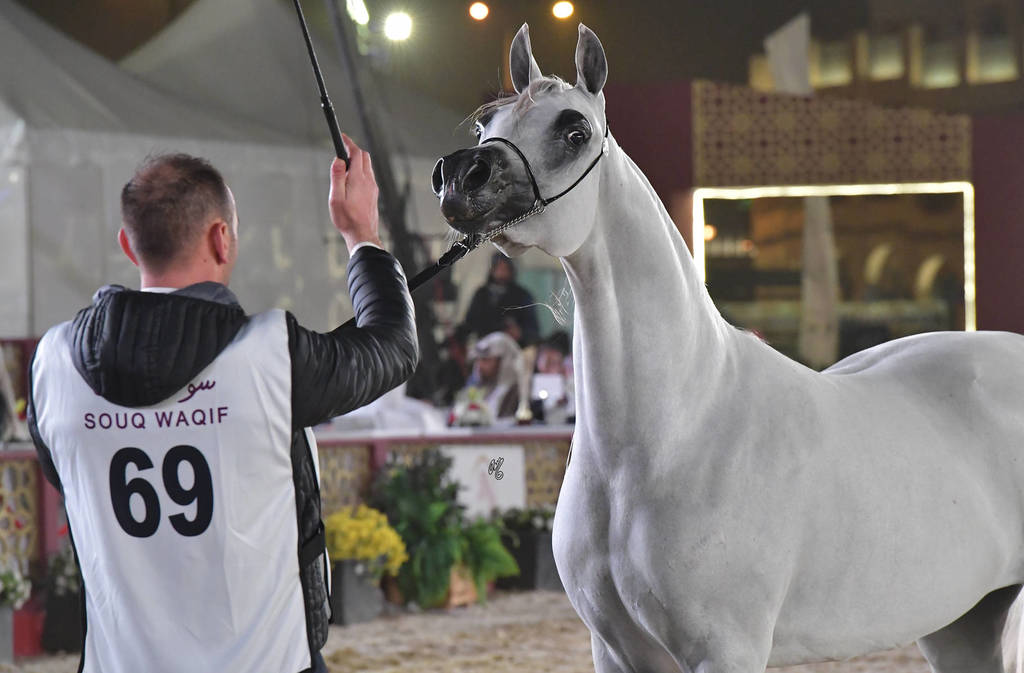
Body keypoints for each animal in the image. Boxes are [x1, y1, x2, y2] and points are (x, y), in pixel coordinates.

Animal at [432, 22, 1024, 673]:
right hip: (961, 624)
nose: (460, 176)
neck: (676, 432)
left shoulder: (726, 650)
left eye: (574, 130)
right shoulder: (614, 649)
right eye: (486, 126)